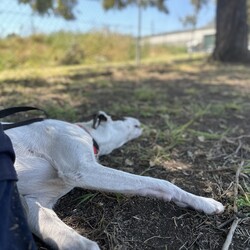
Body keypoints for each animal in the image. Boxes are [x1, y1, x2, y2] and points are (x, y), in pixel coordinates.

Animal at [5, 112, 225, 250]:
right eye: (119, 118)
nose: (137, 119)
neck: (85, 132)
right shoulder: (84, 169)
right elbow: (161, 182)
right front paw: (204, 201)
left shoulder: (34, 204)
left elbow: (82, 244)